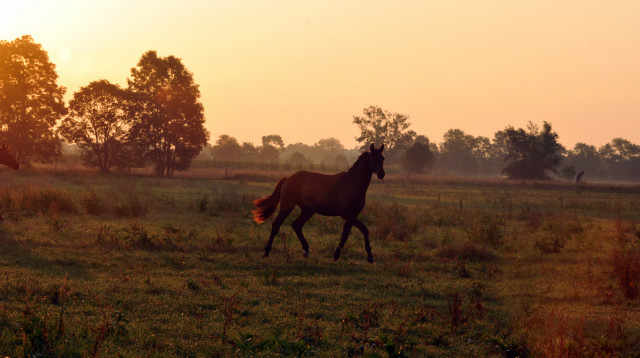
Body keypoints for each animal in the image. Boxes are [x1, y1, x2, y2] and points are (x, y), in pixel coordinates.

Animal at [252, 143, 384, 262]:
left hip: (307, 211)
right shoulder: (348, 214)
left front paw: (336, 255)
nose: (382, 174)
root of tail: (288, 178)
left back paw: (306, 250)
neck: (351, 184)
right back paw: (266, 252)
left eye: (382, 158)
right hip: (287, 206)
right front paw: (370, 257)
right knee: (277, 225)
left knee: (296, 225)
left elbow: (345, 234)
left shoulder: (352, 215)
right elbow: (364, 230)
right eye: (373, 158)